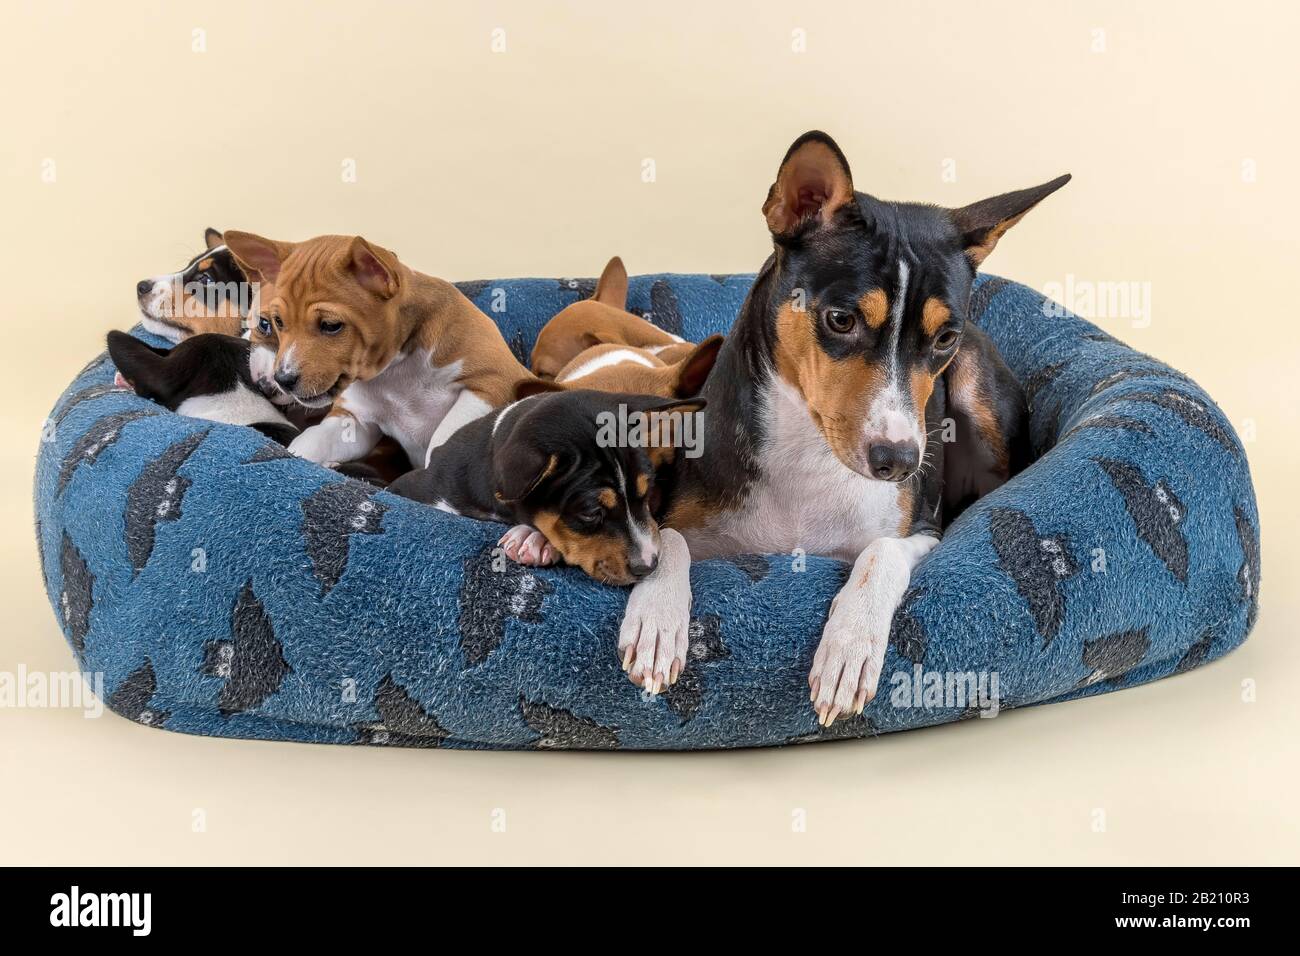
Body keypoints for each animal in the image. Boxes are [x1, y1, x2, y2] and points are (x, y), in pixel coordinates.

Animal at [223, 234, 533, 468]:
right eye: (275, 323)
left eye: (331, 326)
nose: (282, 380)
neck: (396, 372)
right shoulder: (355, 422)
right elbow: (311, 441)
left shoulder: (492, 384)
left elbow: (442, 442)